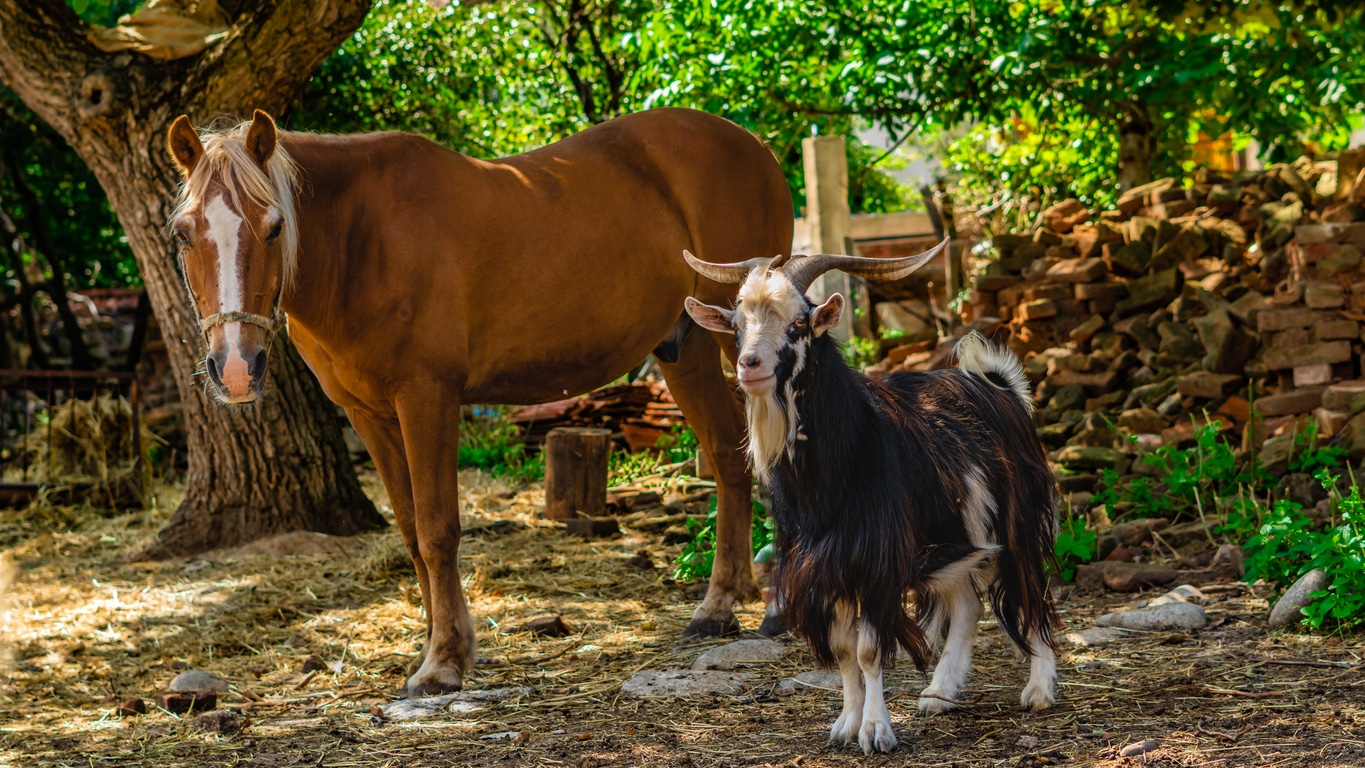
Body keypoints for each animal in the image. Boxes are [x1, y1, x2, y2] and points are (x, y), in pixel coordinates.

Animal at [165, 108, 793, 696]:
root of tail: (754, 146)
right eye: (183, 234)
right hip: (685, 353)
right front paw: (440, 646)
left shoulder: (428, 398)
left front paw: (442, 664)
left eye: (273, 228)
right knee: (729, 458)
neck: (361, 243)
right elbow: (412, 533)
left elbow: (437, 529)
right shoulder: (368, 415)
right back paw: (722, 604)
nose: (236, 369)